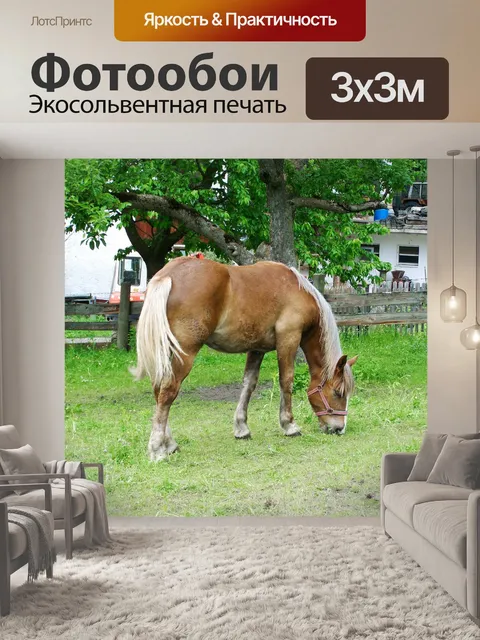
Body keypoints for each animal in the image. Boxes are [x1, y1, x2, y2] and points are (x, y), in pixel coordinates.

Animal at [132, 256, 358, 461]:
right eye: (338, 393)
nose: (340, 428)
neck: (298, 290)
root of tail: (167, 275)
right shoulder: (289, 339)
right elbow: (286, 381)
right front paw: (289, 425)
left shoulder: (257, 348)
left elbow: (249, 384)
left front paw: (242, 428)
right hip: (185, 352)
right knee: (168, 391)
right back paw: (157, 449)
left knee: (158, 389)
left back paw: (169, 443)